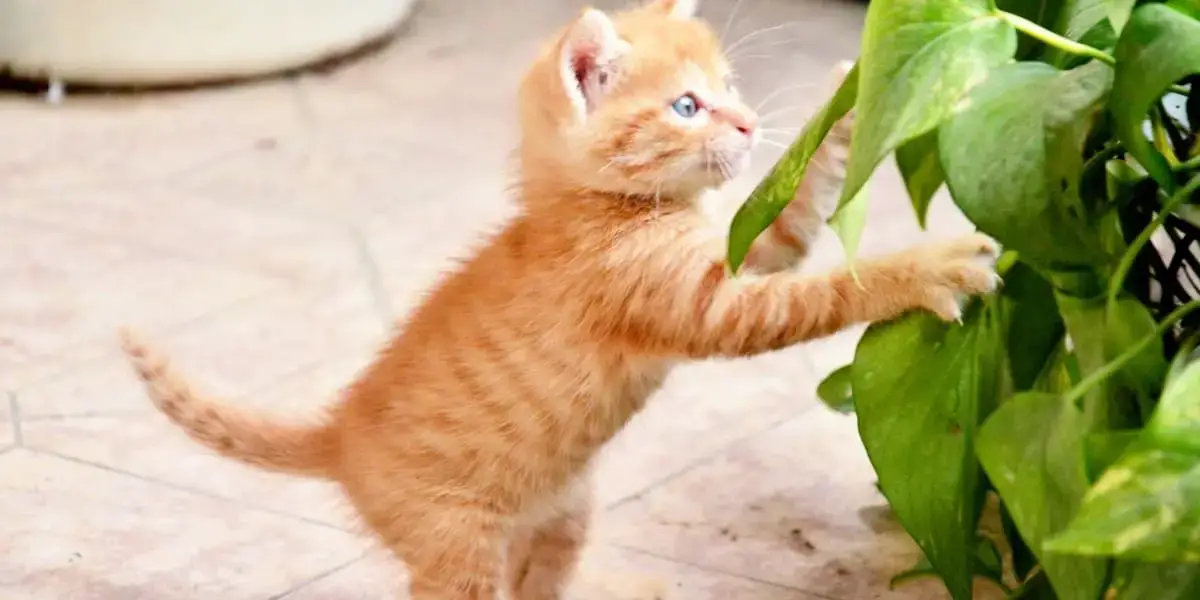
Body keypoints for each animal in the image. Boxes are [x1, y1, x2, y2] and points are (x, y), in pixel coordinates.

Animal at [124, 1, 1003, 600]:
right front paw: (931, 267)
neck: (593, 207)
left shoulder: (740, 250)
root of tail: (338, 432)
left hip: (561, 516)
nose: (751, 124)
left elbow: (792, 217)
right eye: (687, 106)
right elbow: (827, 289)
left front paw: (852, 104)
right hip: (456, 545)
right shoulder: (707, 308)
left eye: (729, 88)